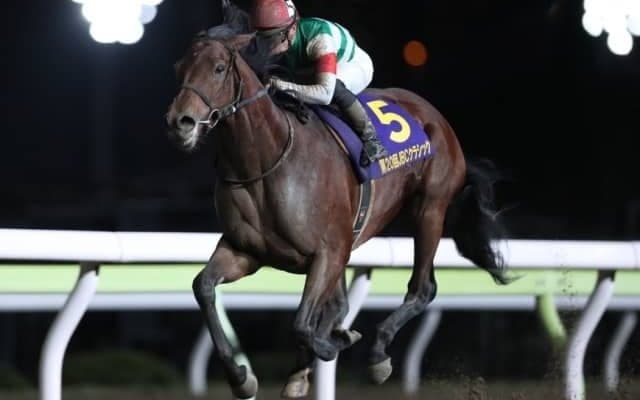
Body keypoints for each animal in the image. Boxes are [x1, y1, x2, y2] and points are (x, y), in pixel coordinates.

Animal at [165, 24, 511, 400]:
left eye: (218, 69)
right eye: (179, 68)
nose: (180, 122)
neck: (263, 162)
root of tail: (436, 118)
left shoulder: (328, 252)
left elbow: (302, 323)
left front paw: (332, 345)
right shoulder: (246, 251)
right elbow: (204, 287)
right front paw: (242, 377)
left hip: (429, 208)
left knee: (422, 288)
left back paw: (377, 355)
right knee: (341, 304)